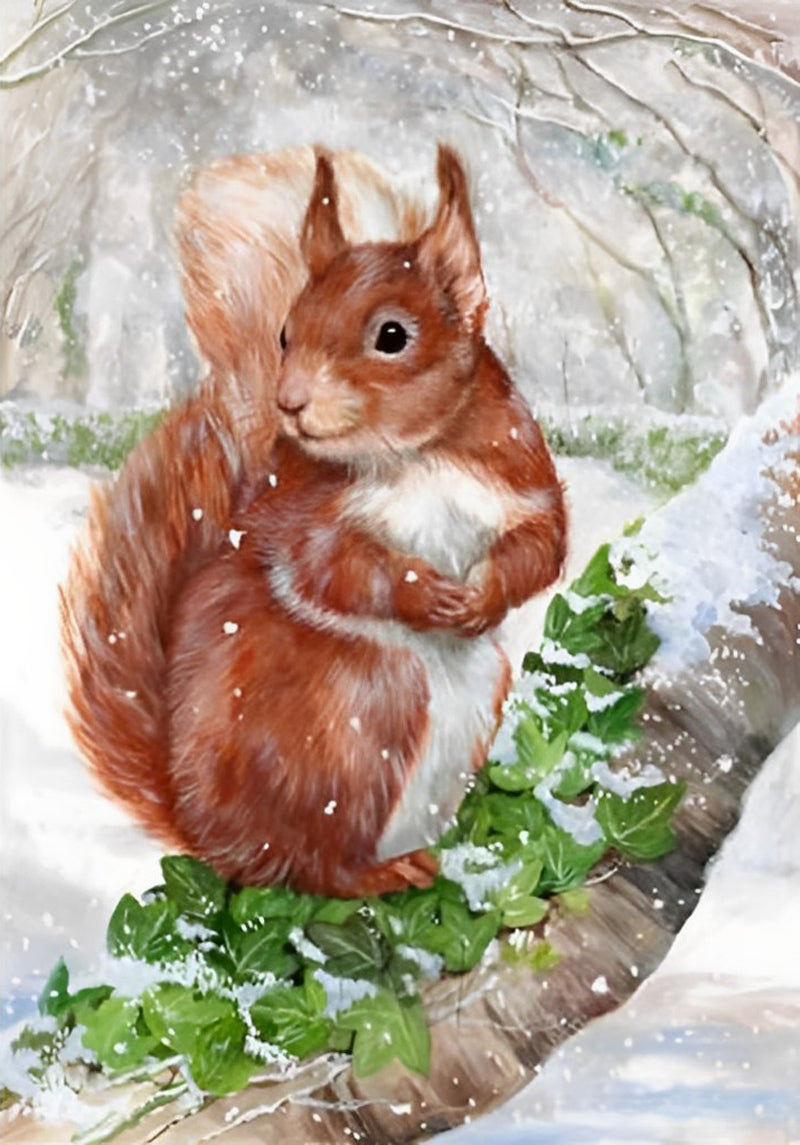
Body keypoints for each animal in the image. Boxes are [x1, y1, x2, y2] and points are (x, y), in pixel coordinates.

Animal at [61, 144, 567, 898]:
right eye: (284, 333)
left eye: (393, 335)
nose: (290, 401)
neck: (417, 454)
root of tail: (207, 834)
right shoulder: (303, 514)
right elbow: (330, 566)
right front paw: (420, 591)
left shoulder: (519, 480)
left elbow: (541, 546)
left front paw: (483, 594)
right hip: (358, 718)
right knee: (314, 866)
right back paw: (384, 870)